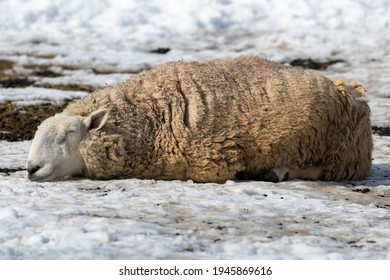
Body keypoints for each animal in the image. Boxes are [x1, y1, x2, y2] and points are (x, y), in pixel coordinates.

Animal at [25, 55, 374, 183]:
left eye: (68, 135)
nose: (31, 169)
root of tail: (349, 90)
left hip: (339, 153)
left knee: (320, 170)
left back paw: (279, 171)